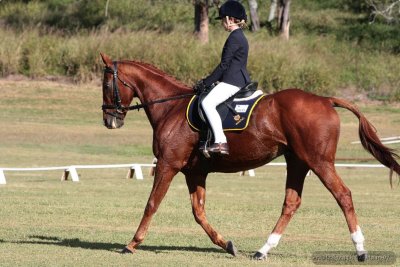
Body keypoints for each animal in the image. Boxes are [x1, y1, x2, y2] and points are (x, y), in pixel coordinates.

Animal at [101, 54, 400, 262]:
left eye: (106, 84)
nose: (109, 120)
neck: (170, 107)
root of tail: (325, 100)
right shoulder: (194, 172)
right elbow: (199, 212)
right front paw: (226, 244)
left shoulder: (167, 164)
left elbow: (152, 204)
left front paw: (131, 244)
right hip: (297, 162)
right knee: (291, 202)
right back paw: (263, 250)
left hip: (319, 161)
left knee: (343, 195)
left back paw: (360, 249)